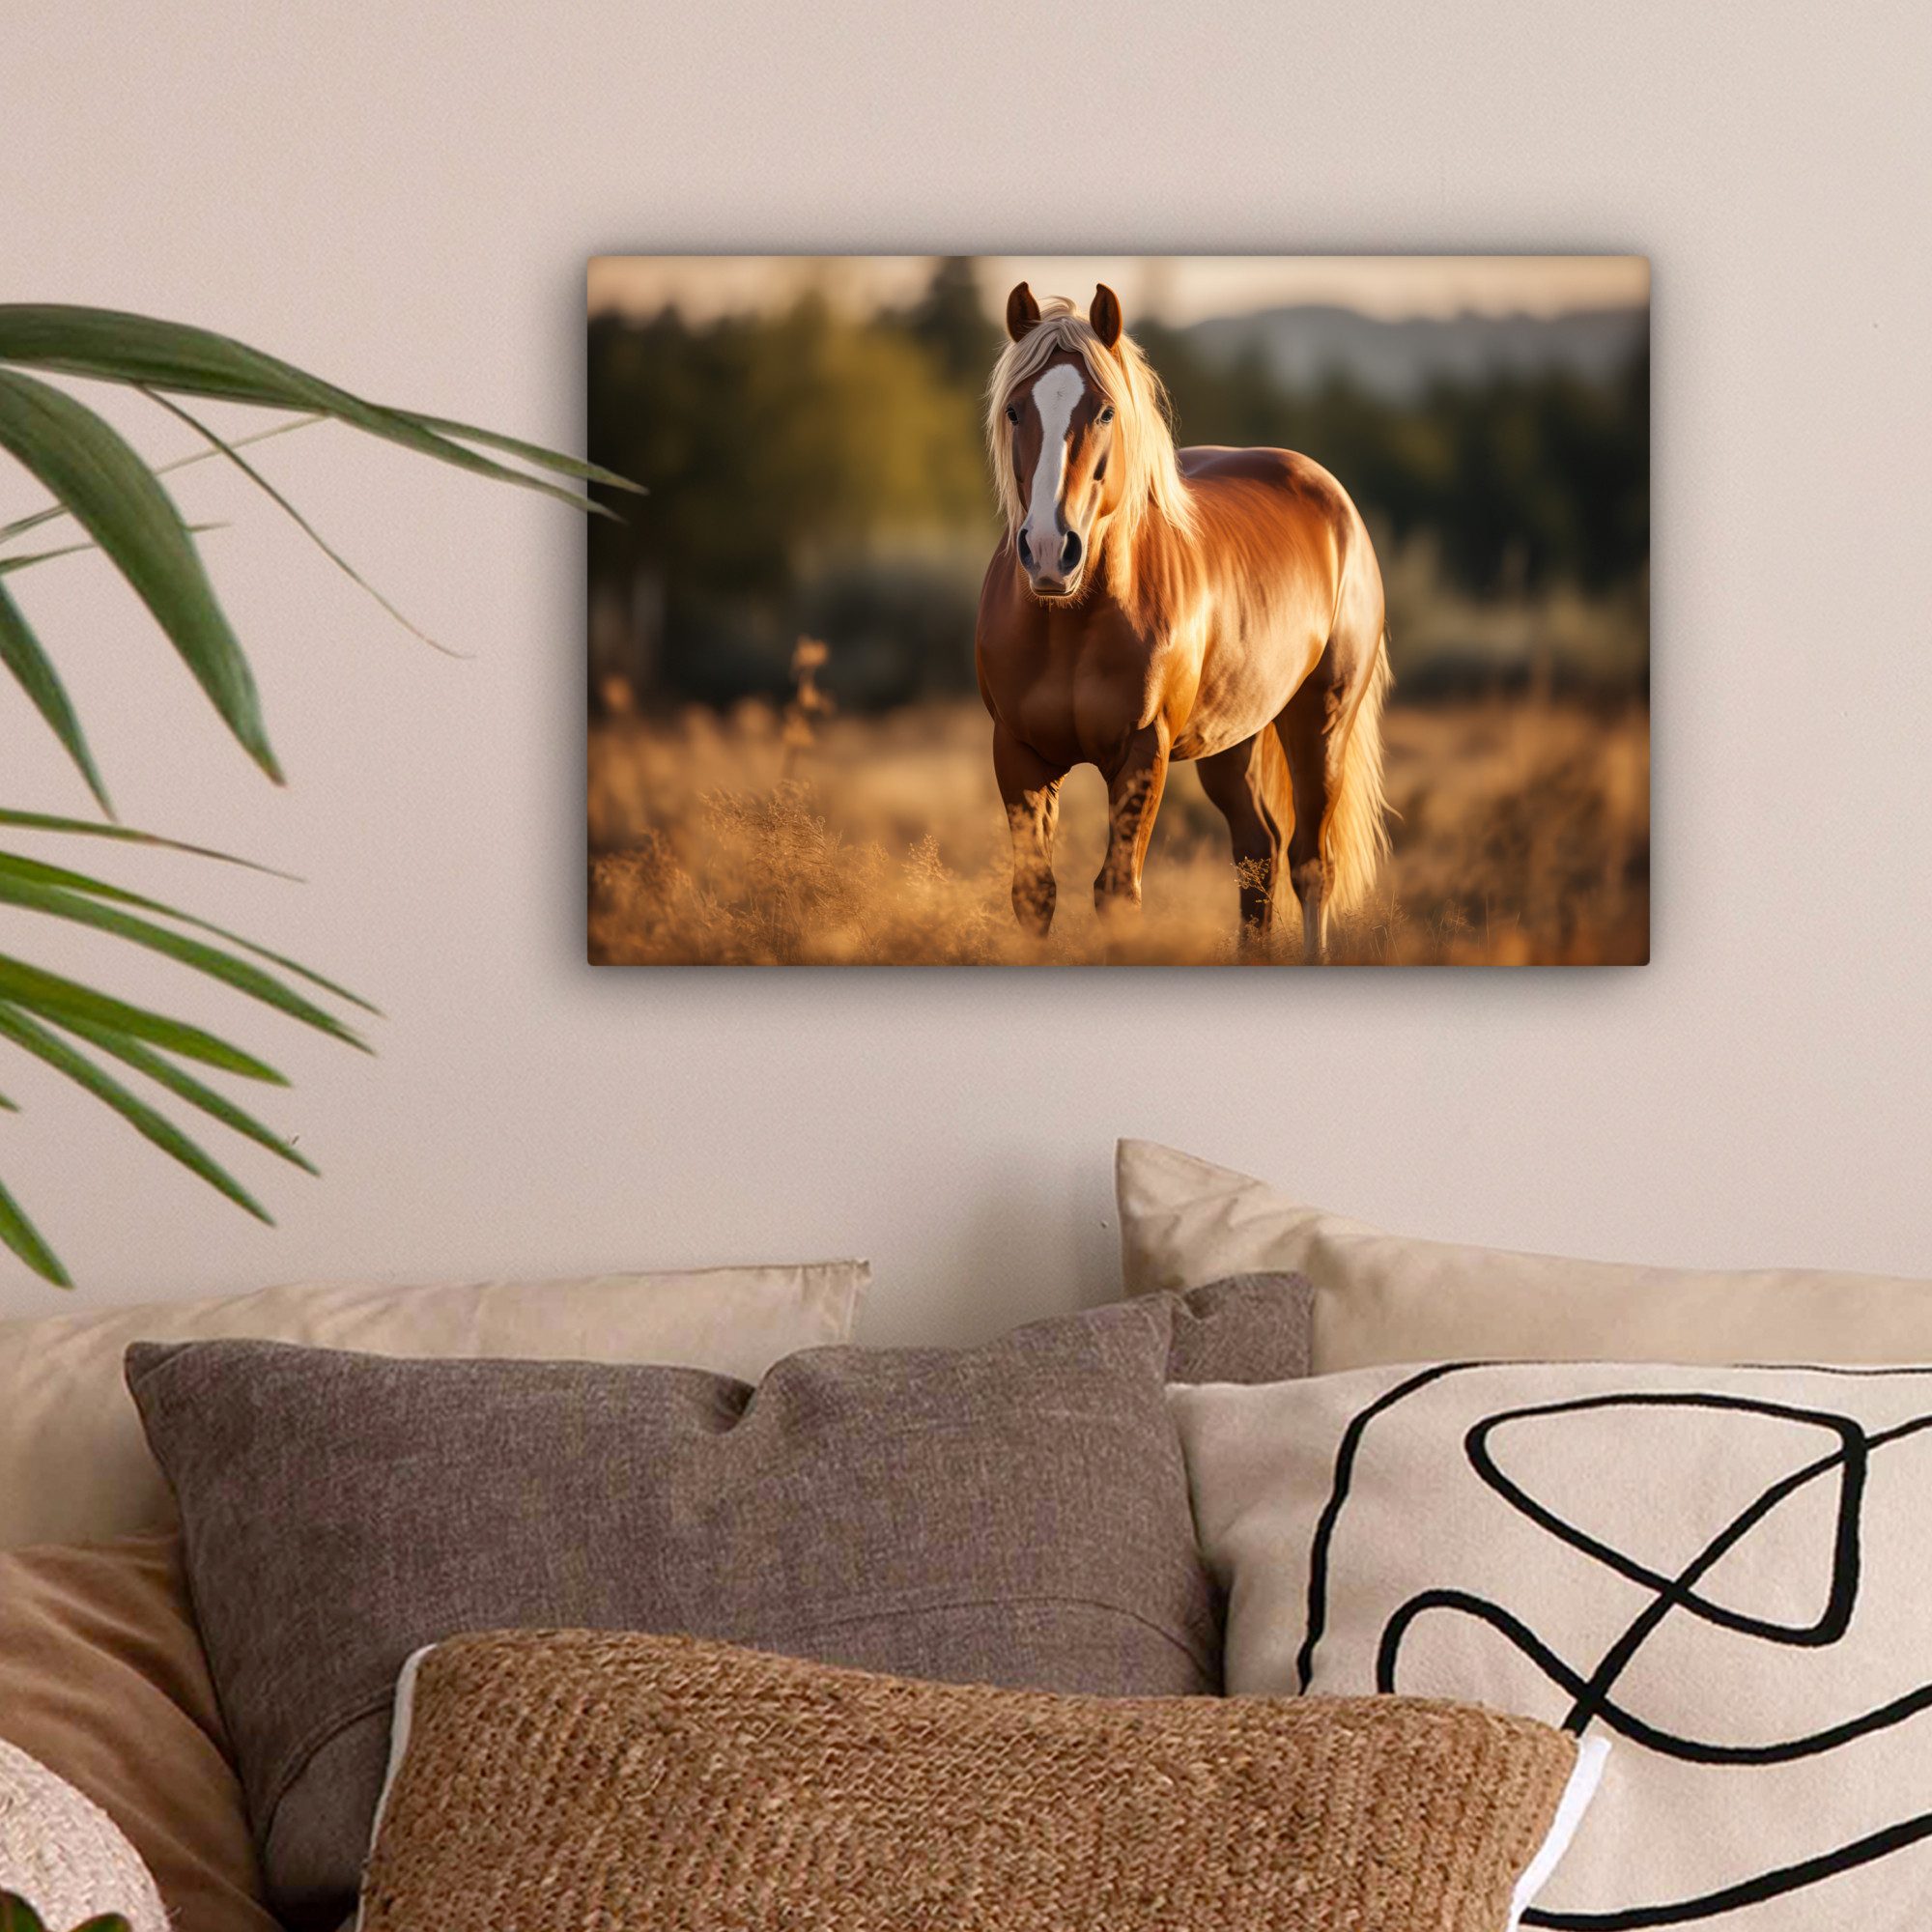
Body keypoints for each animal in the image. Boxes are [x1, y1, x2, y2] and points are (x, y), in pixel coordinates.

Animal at [974, 281, 1392, 961]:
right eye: (1014, 410)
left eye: (1106, 412)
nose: (1048, 550)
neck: (1069, 623)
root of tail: (1334, 500)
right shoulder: (1018, 751)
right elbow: (1034, 894)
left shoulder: (1144, 751)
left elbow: (1117, 892)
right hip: (1233, 740)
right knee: (1258, 855)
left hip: (1320, 724)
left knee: (1311, 865)